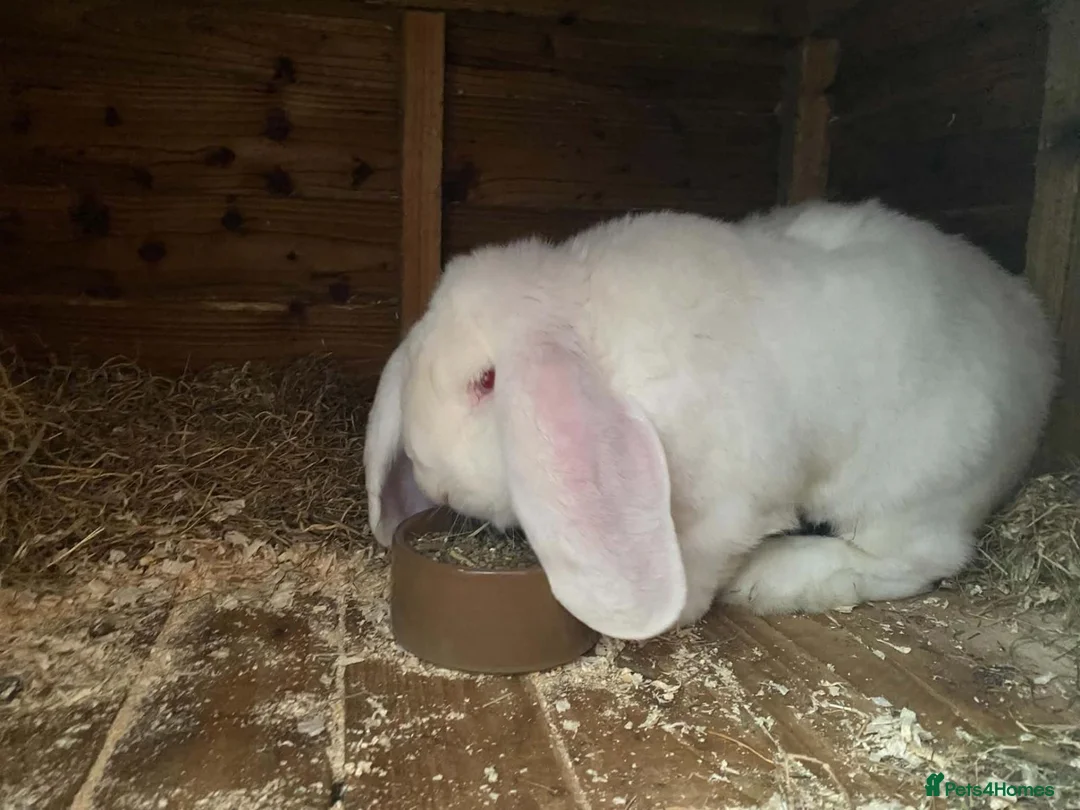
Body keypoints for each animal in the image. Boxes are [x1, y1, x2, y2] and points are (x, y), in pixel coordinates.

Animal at [364, 198, 1058, 641]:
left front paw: (677, 612)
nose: (433, 480)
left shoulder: (727, 505)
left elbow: (697, 563)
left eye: (486, 382)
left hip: (914, 485)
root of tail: (1035, 336)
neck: (600, 347)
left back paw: (773, 580)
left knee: (915, 558)